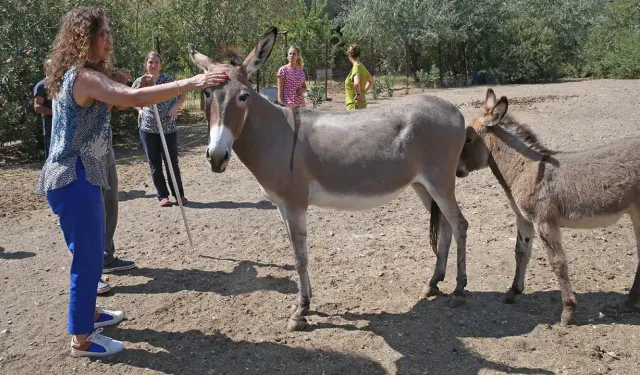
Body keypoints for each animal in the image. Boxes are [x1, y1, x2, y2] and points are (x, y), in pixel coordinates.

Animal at [458, 89, 640, 326]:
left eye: (468, 139)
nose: (456, 171)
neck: (525, 169)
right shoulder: (524, 219)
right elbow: (521, 252)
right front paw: (513, 292)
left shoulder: (544, 222)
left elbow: (558, 263)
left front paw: (568, 312)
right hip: (635, 211)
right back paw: (630, 302)